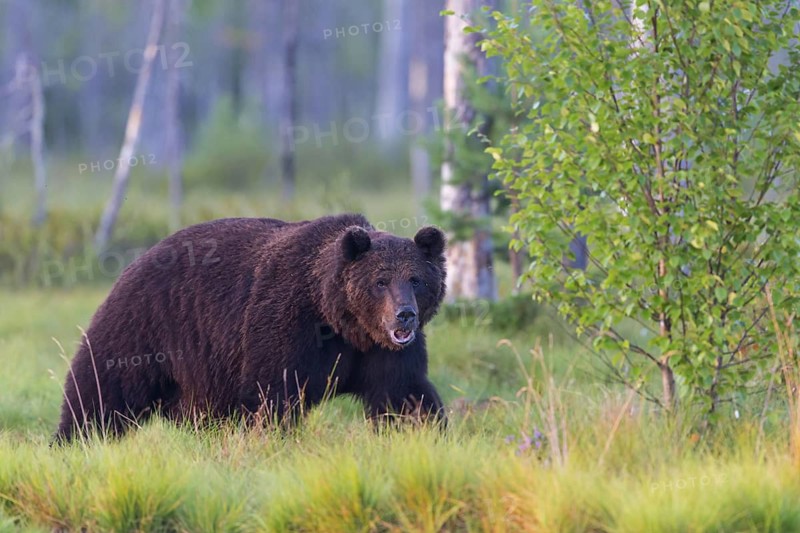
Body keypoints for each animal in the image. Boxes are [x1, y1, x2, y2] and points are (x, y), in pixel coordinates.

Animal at [53, 214, 447, 442]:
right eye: (381, 281)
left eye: (416, 279)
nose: (405, 315)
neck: (340, 320)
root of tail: (135, 261)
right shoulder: (287, 324)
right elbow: (272, 394)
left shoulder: (382, 351)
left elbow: (403, 394)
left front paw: (426, 434)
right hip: (145, 324)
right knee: (101, 388)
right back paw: (73, 439)